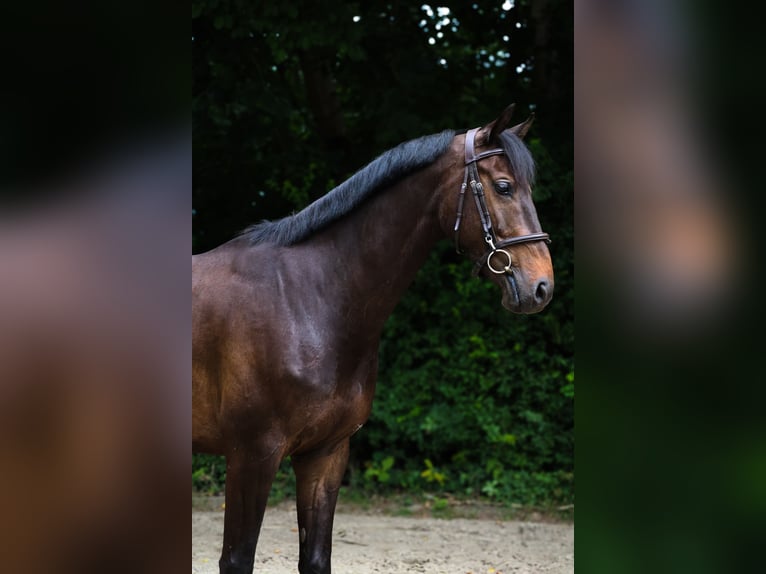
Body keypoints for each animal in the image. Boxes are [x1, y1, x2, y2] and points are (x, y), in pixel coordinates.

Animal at [192, 105, 554, 574]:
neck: (305, 296)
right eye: (504, 187)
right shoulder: (251, 455)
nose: (542, 286)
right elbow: (237, 560)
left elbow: (316, 558)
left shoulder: (326, 454)